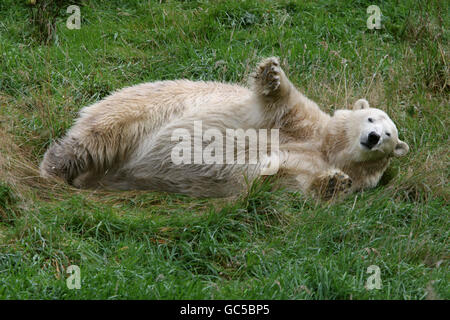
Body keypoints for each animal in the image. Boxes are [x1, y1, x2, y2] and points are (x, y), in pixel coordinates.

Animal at [40, 57, 410, 198]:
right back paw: (53, 170)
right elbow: (282, 103)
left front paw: (334, 182)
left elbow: (287, 183)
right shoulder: (302, 124)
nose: (373, 137)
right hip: (142, 109)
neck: (327, 146)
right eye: (372, 118)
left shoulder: (307, 162)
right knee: (98, 136)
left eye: (389, 136)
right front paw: (272, 74)